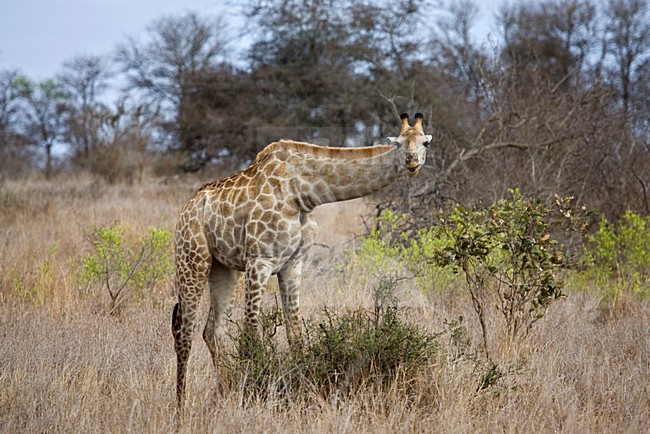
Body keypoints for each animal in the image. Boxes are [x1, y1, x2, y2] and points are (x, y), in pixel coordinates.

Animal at [172, 112, 432, 409]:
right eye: (398, 144)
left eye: (425, 143)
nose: (412, 163)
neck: (304, 192)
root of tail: (188, 207)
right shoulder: (260, 260)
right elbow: (251, 333)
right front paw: (252, 391)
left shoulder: (292, 264)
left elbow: (295, 333)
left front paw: (302, 389)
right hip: (192, 258)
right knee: (185, 333)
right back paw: (180, 406)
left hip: (224, 269)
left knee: (212, 331)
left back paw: (224, 392)